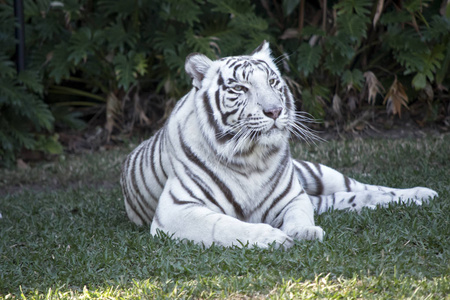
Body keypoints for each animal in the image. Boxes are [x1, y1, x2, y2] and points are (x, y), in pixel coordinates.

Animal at [119, 42, 436, 248]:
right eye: (240, 88)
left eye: (273, 82)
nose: (274, 111)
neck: (249, 158)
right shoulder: (176, 211)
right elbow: (226, 225)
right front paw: (272, 237)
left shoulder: (292, 197)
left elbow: (300, 214)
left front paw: (305, 232)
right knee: (343, 199)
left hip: (317, 173)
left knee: (363, 187)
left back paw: (421, 193)